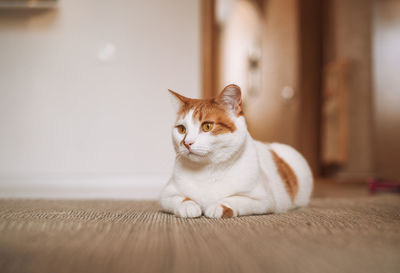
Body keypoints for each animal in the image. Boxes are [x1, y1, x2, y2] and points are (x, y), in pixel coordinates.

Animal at [159, 84, 312, 218]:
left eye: (207, 126)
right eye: (181, 129)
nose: (186, 143)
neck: (208, 171)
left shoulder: (264, 200)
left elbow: (235, 198)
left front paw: (218, 206)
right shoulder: (166, 195)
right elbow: (181, 198)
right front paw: (188, 206)